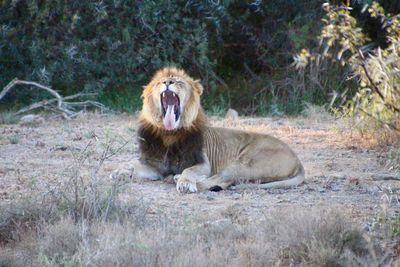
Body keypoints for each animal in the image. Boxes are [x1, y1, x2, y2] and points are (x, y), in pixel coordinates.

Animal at [113, 66, 306, 193]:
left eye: (178, 81)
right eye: (160, 82)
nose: (168, 82)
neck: (169, 134)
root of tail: (298, 161)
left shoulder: (203, 163)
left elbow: (189, 171)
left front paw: (184, 182)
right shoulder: (154, 165)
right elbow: (134, 165)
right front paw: (120, 171)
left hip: (244, 164)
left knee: (221, 180)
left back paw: (178, 179)